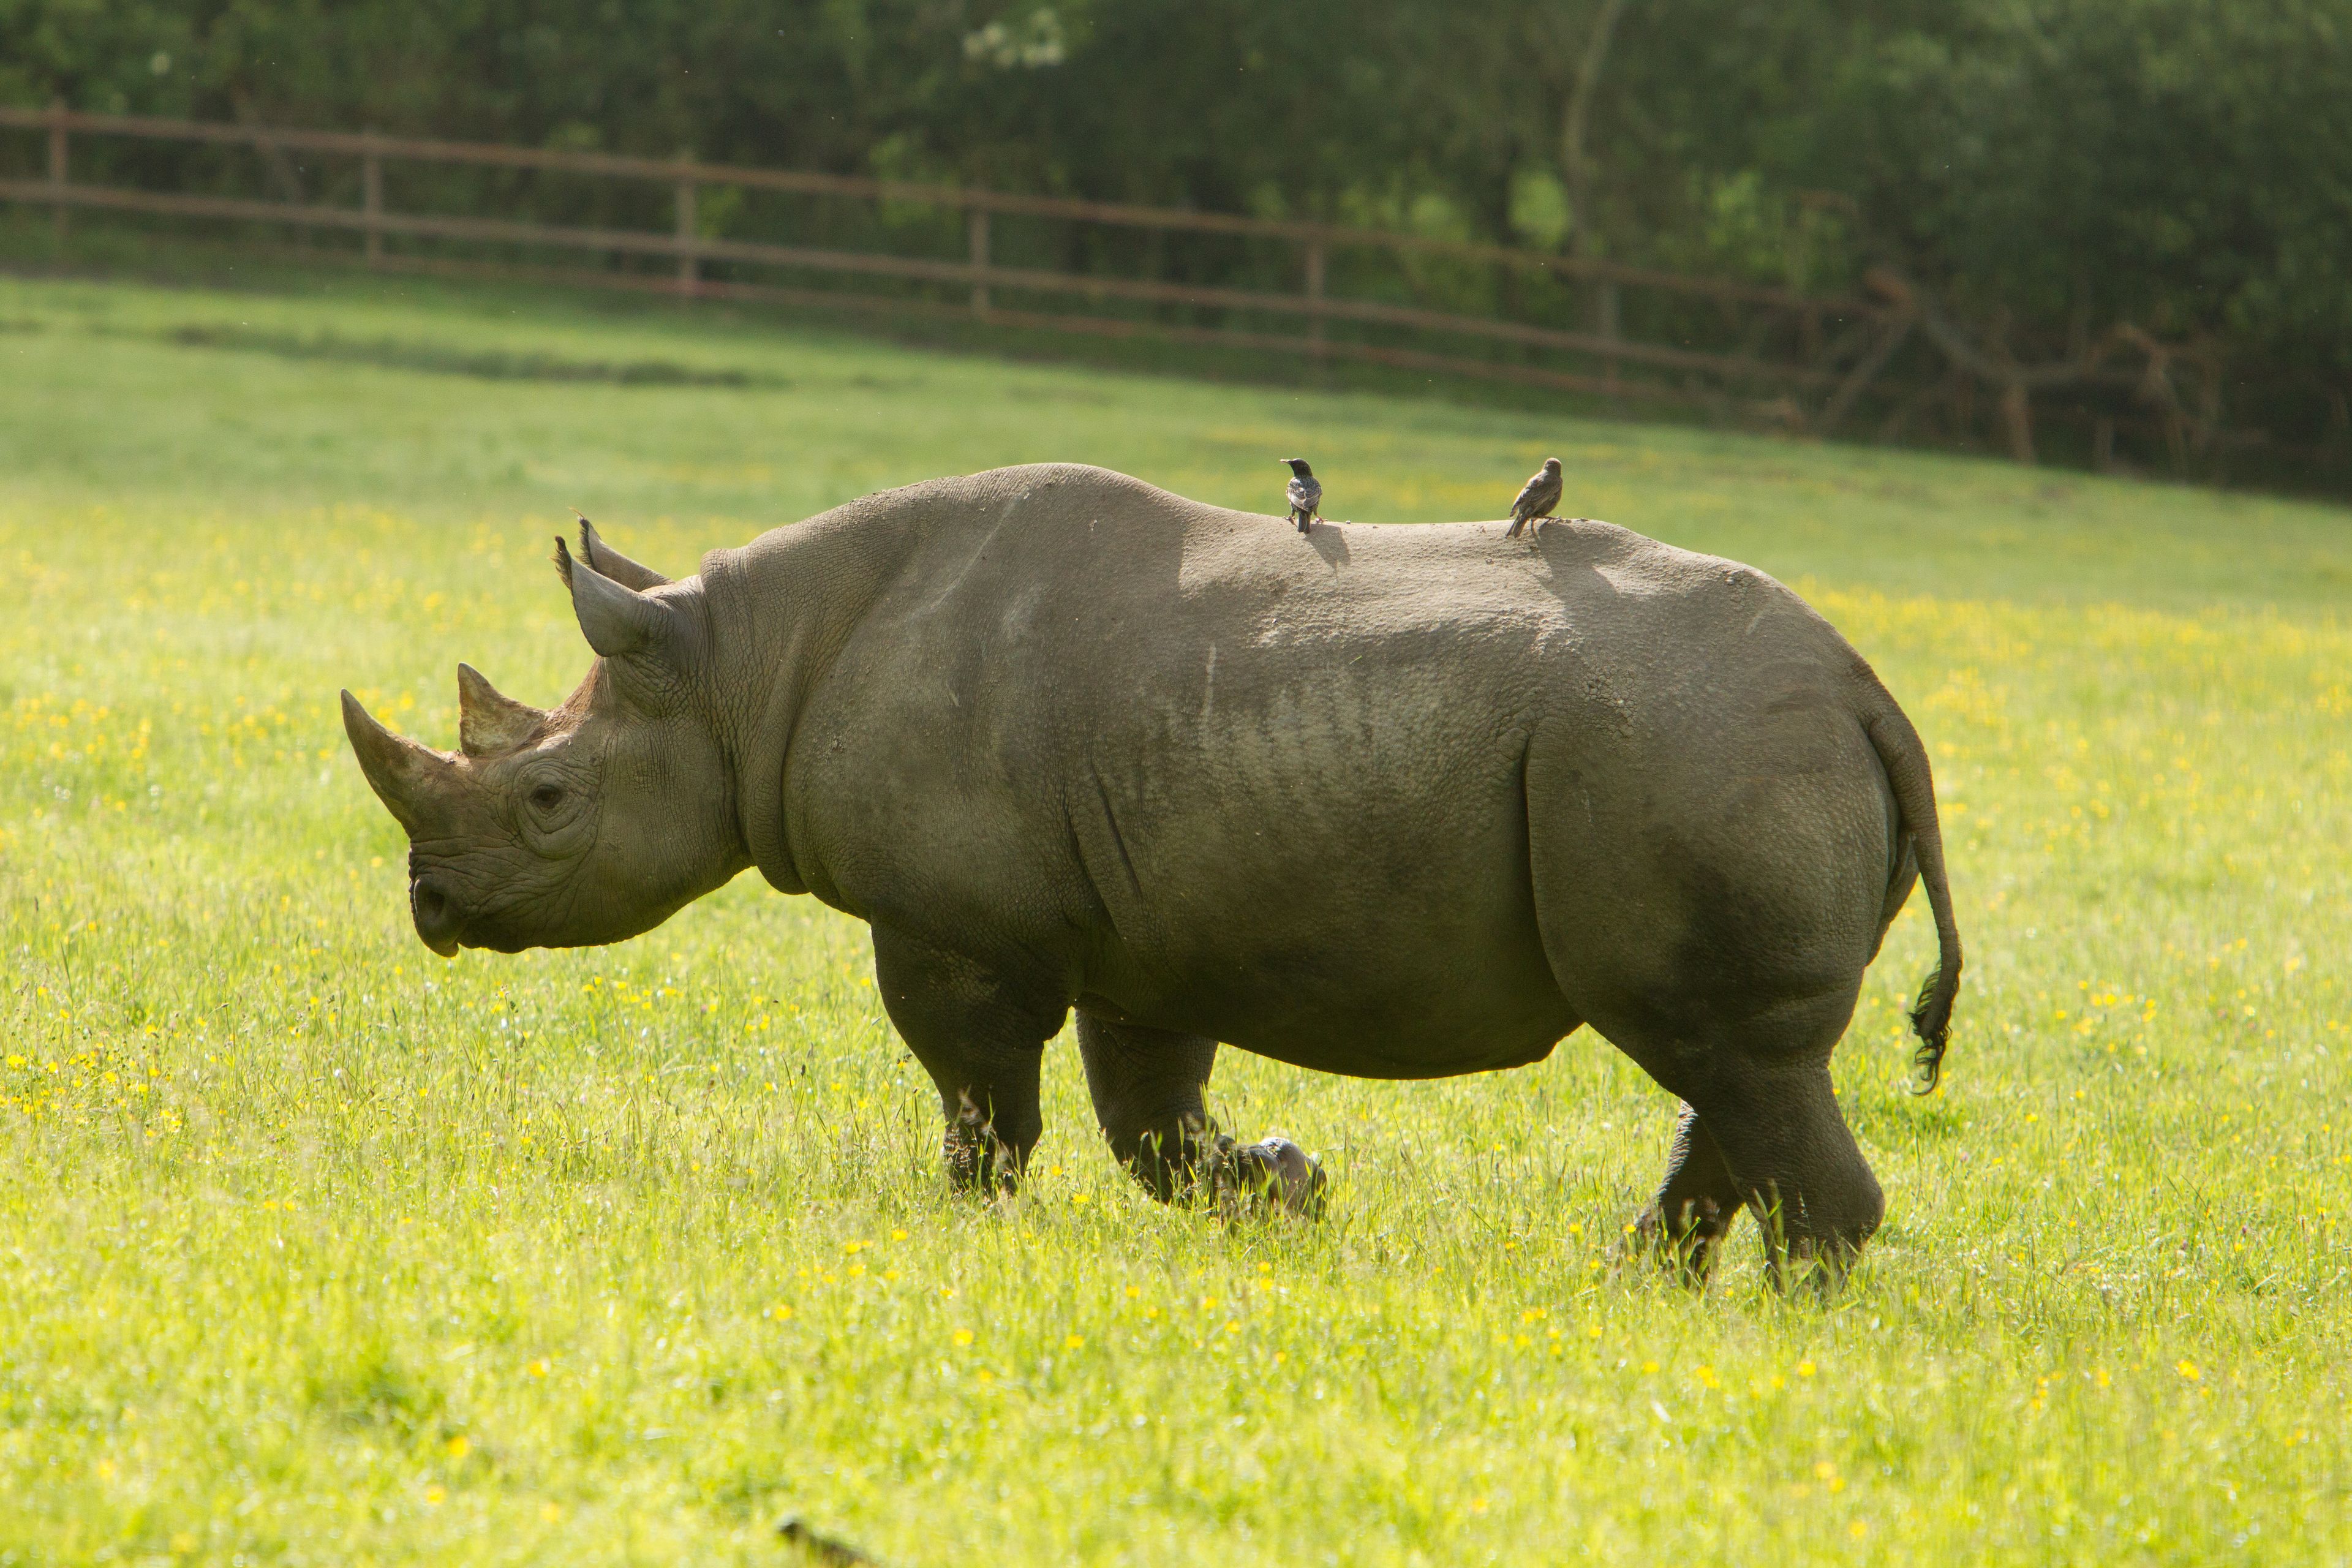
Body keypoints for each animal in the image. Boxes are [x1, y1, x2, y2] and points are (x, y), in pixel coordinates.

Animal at [342, 463, 1960, 1281]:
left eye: (548, 798)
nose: (431, 909)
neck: (742, 666)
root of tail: (1869, 692)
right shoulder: (1143, 923)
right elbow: (1151, 1125)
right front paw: (1290, 1188)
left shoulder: (954, 924)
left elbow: (980, 1090)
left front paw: (965, 1218)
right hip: (1706, 745)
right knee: (1724, 1059)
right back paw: (1639, 1285)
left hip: (1692, 747)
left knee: (1724, 1047)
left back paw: (1787, 1312)